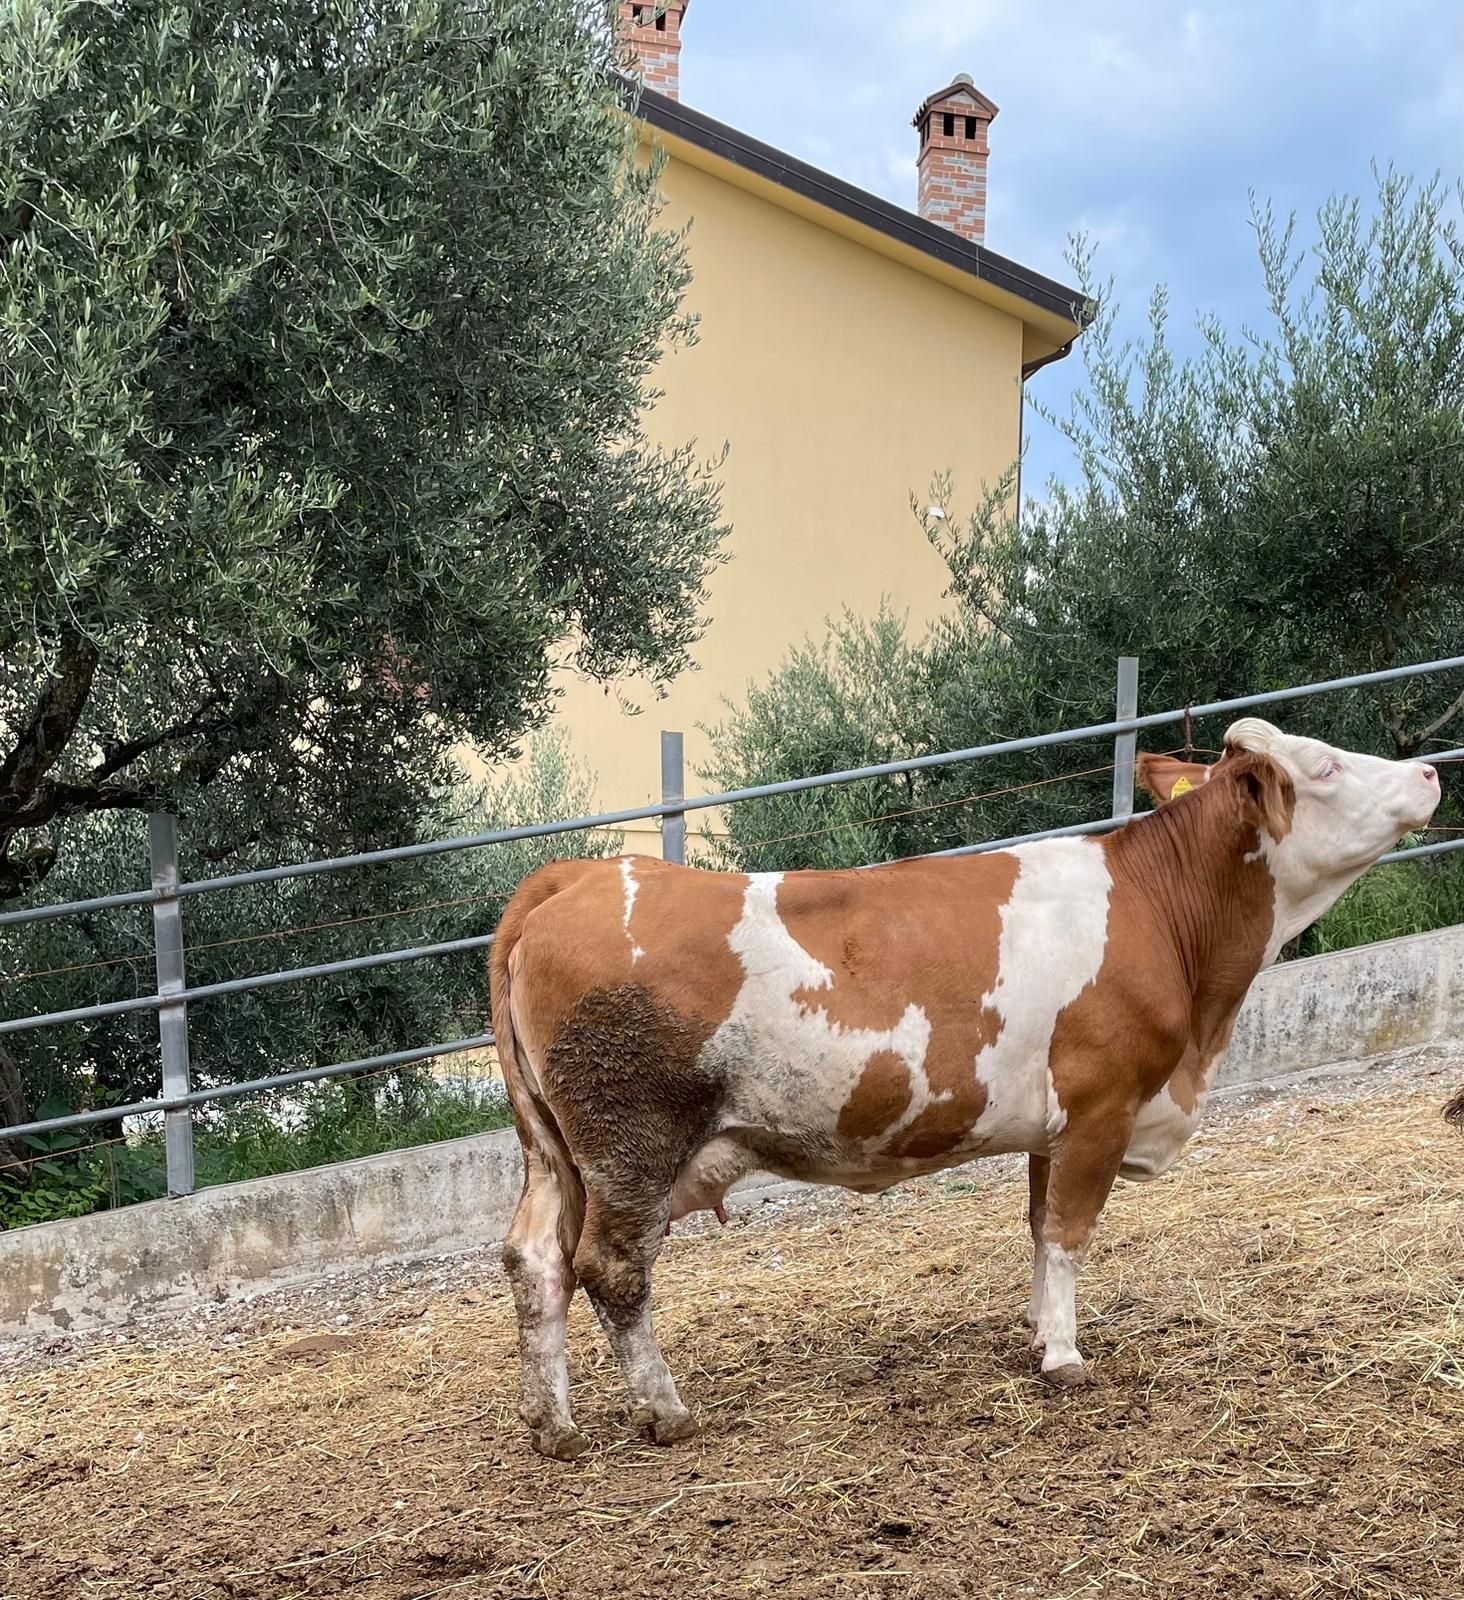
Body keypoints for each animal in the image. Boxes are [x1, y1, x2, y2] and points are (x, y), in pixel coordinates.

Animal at [489, 717, 1440, 1459]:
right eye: (1325, 766)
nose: (1430, 770)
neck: (1162, 914)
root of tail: (578, 874)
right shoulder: (1103, 1107)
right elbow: (1068, 1233)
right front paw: (1064, 1357)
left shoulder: (1055, 1127)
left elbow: (1038, 1228)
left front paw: (1038, 1331)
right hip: (630, 1145)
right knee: (611, 1269)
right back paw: (666, 1412)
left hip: (555, 1151)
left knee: (535, 1259)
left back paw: (552, 1425)